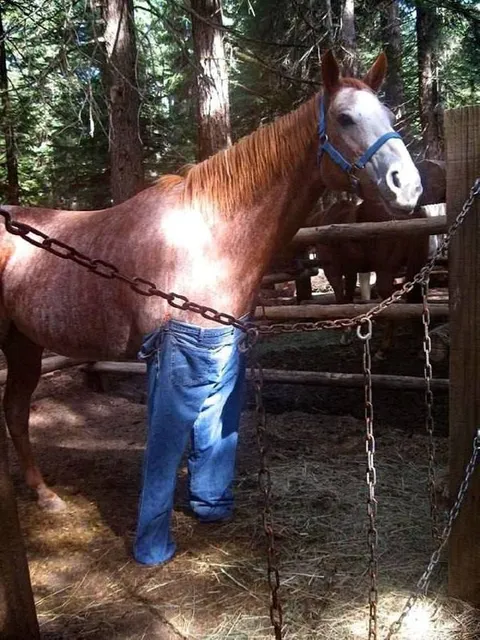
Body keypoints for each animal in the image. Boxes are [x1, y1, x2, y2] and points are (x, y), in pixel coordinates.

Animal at [0, 50, 422, 512]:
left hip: (24, 344)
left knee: (15, 412)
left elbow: (208, 434)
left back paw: (45, 494)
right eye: (345, 118)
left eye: (389, 116)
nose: (408, 186)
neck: (206, 237)